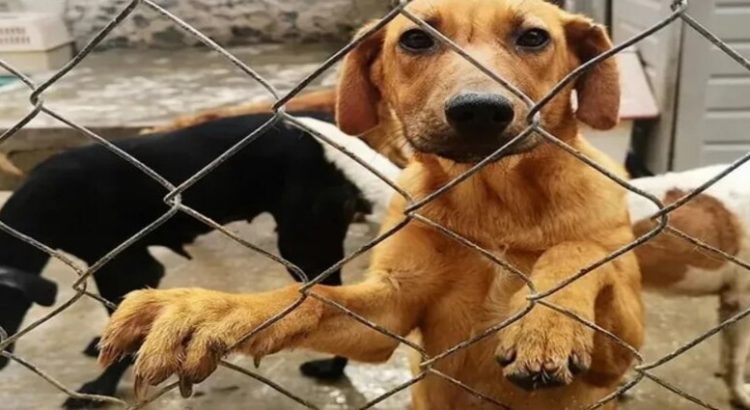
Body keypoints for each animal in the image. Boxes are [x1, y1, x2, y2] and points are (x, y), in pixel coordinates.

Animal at [100, 1, 648, 408]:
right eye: (416, 40)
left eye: (533, 37)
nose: (479, 111)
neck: (496, 205)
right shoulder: (389, 313)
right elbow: (312, 297)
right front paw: (214, 309)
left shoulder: (619, 352)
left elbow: (582, 250)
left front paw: (547, 322)